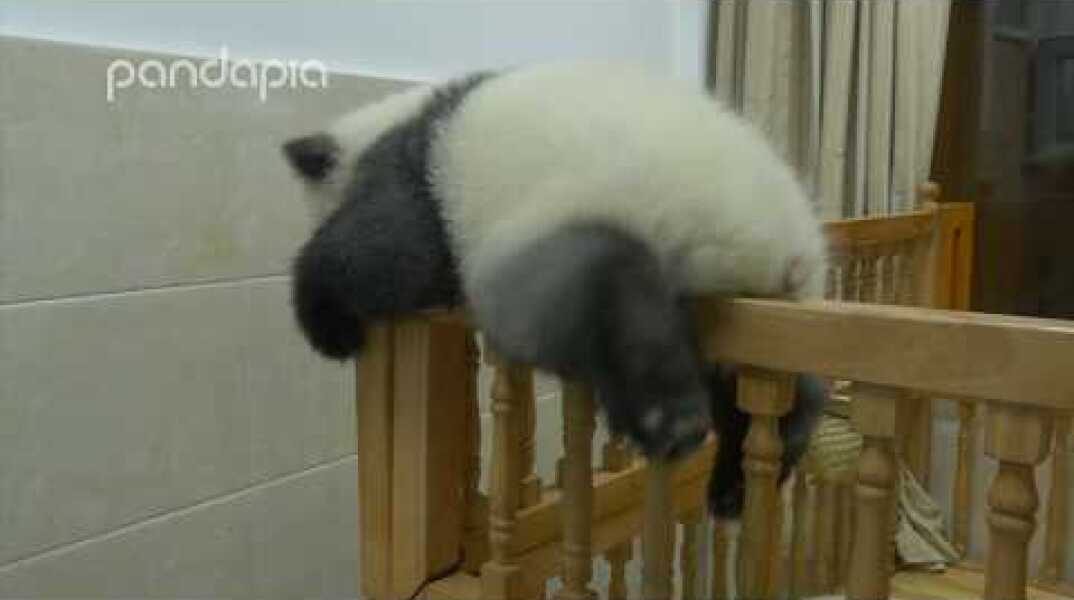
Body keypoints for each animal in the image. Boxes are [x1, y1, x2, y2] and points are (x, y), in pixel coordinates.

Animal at [281, 62, 828, 518]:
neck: (387, 120)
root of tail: (784, 243)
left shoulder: (415, 181)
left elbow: (382, 256)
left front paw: (330, 328)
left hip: (589, 219)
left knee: (603, 289)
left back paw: (670, 420)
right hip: (754, 303)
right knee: (754, 385)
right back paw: (748, 472)